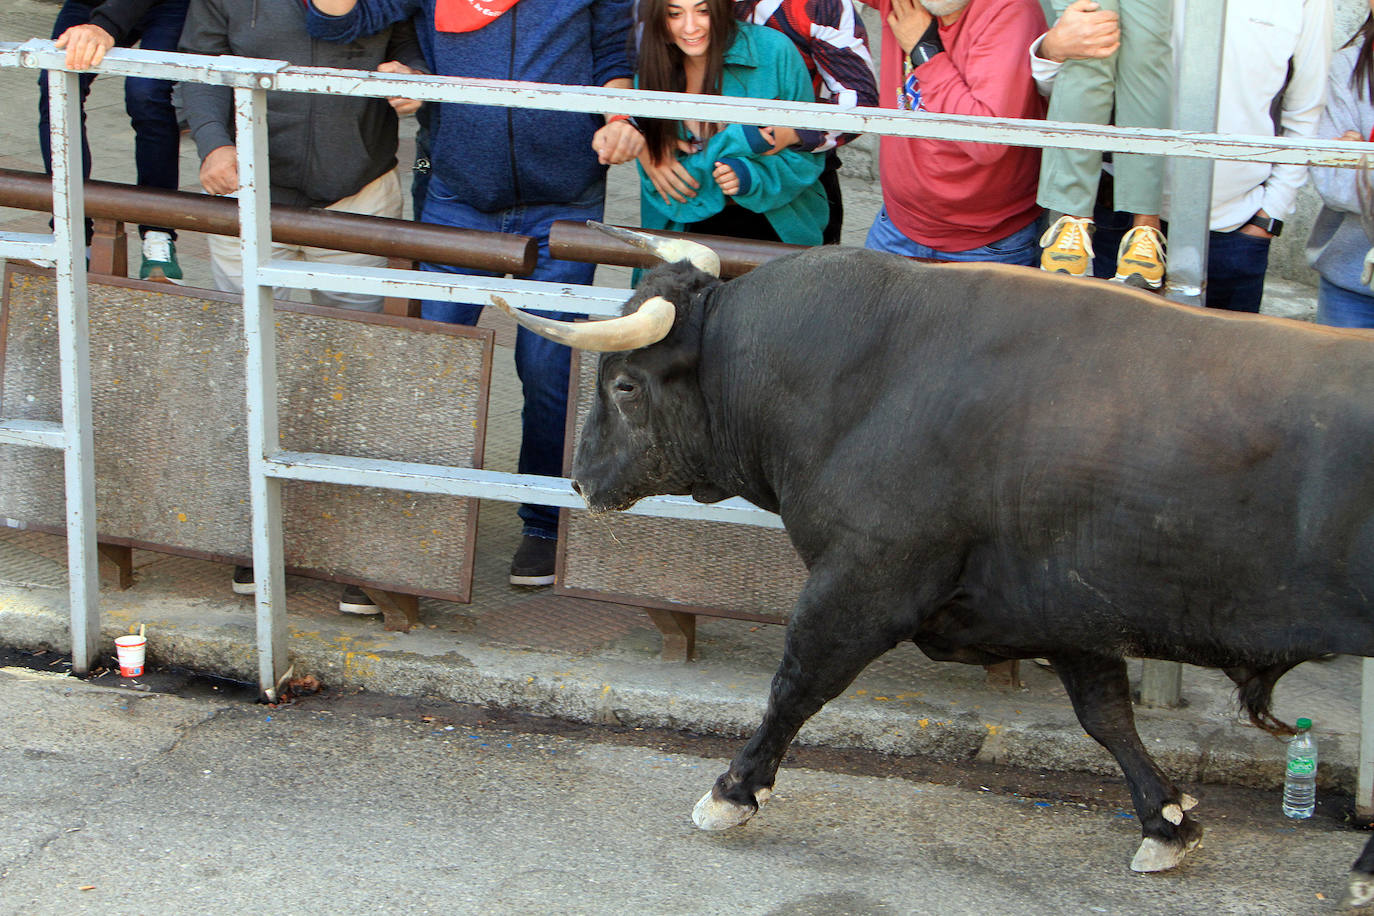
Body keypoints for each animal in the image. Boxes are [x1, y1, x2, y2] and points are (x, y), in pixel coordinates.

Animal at [513, 243, 1374, 900]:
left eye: (625, 385)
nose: (580, 482)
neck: (859, 380)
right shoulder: (1064, 606)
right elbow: (1108, 718)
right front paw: (1167, 822)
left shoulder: (864, 580)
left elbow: (796, 684)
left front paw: (732, 792)